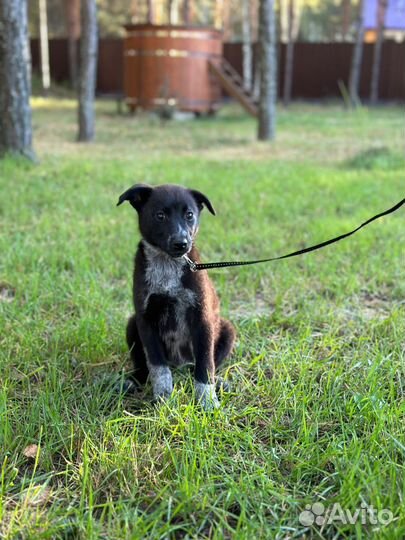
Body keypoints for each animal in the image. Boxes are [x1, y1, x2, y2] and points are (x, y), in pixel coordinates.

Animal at [117, 184, 235, 408]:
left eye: (189, 215)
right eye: (160, 215)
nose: (181, 243)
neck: (167, 264)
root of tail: (179, 364)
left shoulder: (202, 318)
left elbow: (205, 364)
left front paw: (207, 401)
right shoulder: (145, 319)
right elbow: (157, 366)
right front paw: (163, 398)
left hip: (227, 330)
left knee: (201, 366)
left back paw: (219, 382)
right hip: (132, 325)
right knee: (143, 366)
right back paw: (133, 381)